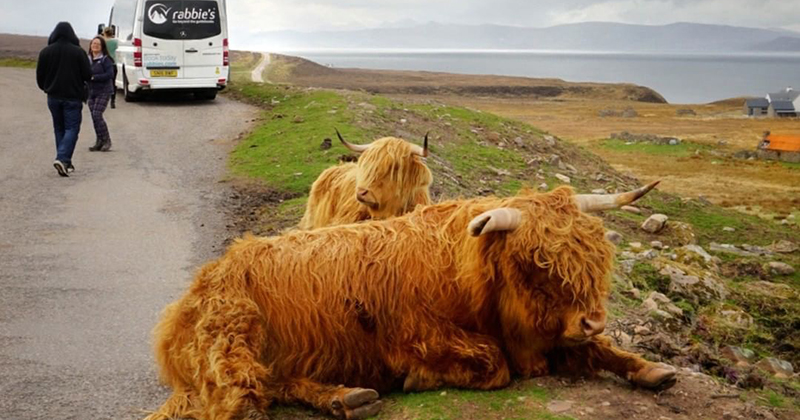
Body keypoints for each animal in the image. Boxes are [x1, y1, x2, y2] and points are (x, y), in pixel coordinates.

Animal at [145, 182, 676, 420]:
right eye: (538, 262)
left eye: (594, 255)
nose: (592, 319)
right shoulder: (415, 337)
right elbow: (494, 364)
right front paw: (419, 379)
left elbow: (597, 351)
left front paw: (651, 368)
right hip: (233, 336)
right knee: (249, 394)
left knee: (279, 381)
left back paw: (346, 397)